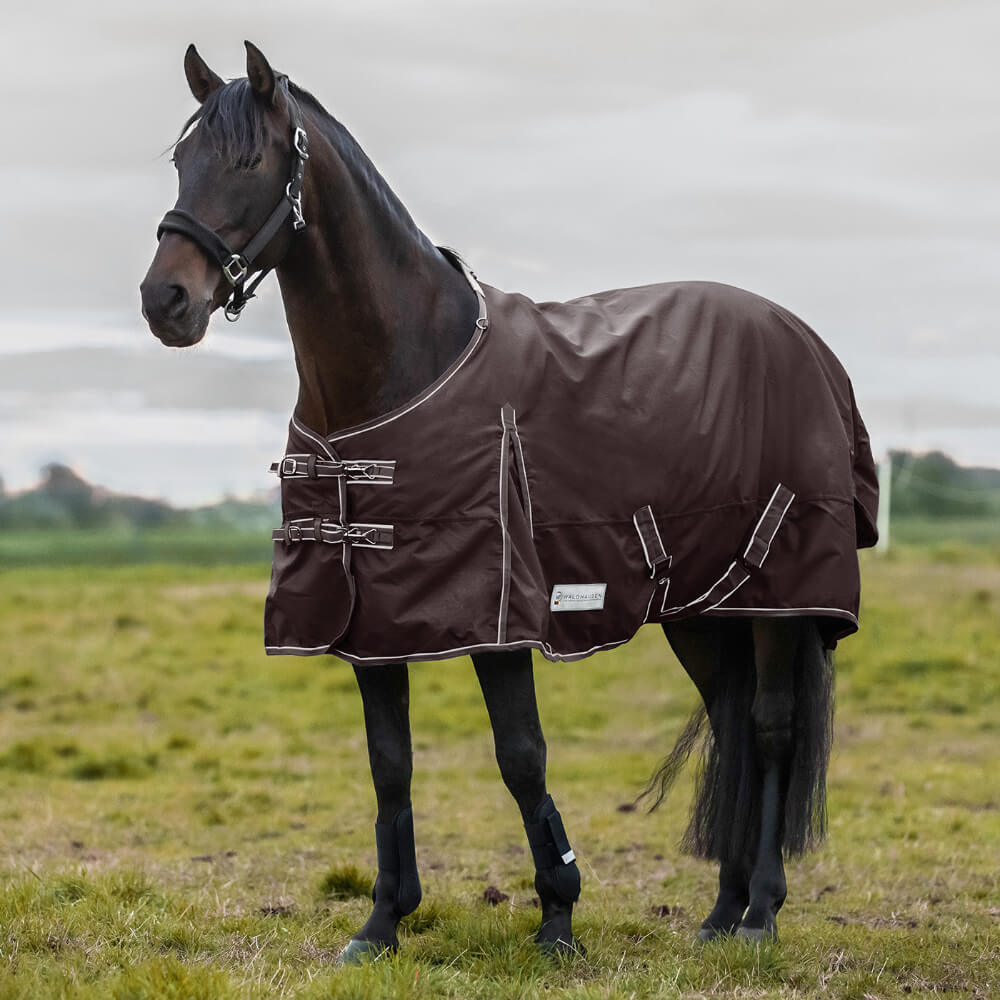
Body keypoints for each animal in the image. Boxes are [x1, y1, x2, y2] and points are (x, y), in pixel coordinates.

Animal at [140, 42, 878, 962]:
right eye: (181, 161)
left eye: (249, 161)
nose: (165, 302)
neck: (407, 365)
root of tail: (803, 339)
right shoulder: (370, 618)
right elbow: (390, 764)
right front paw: (381, 924)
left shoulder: (497, 609)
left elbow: (521, 754)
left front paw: (558, 916)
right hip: (702, 608)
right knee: (735, 723)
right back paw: (719, 912)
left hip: (782, 595)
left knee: (773, 728)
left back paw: (761, 915)